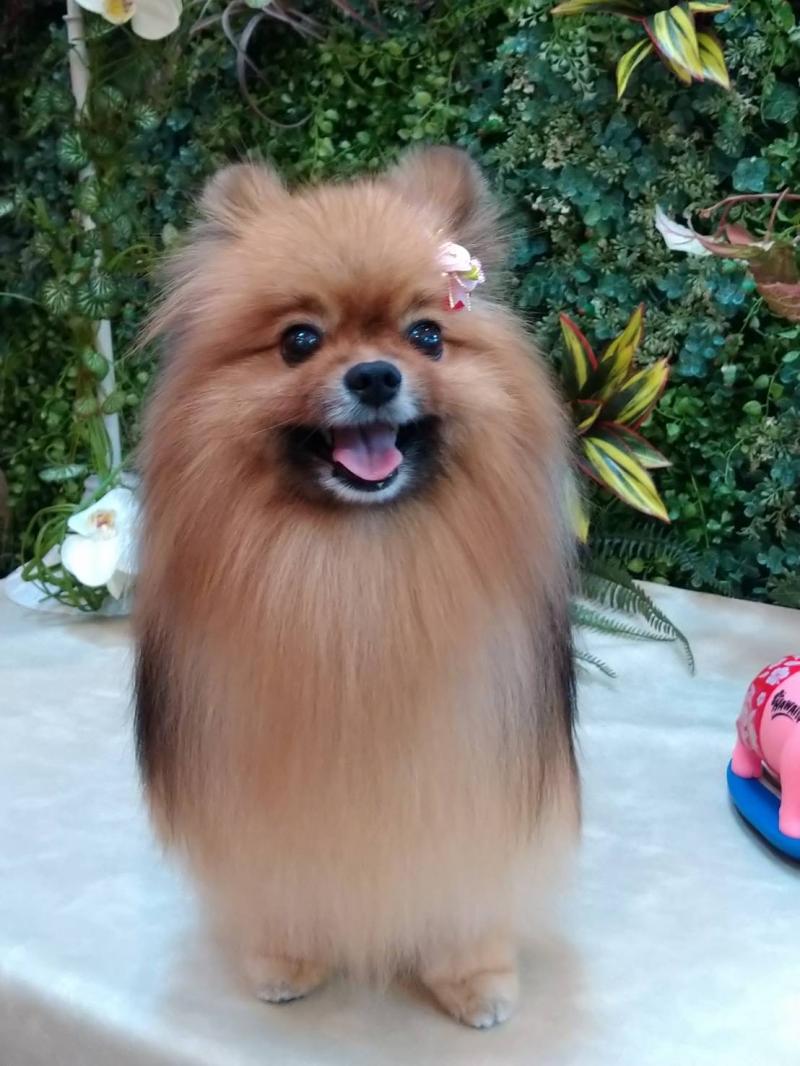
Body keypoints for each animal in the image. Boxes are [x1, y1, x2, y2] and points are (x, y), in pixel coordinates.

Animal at [134, 146, 578, 1029]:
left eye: (428, 335)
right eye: (299, 340)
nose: (375, 375)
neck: (359, 570)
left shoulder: (470, 759)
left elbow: (462, 882)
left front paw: (474, 977)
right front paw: (287, 955)